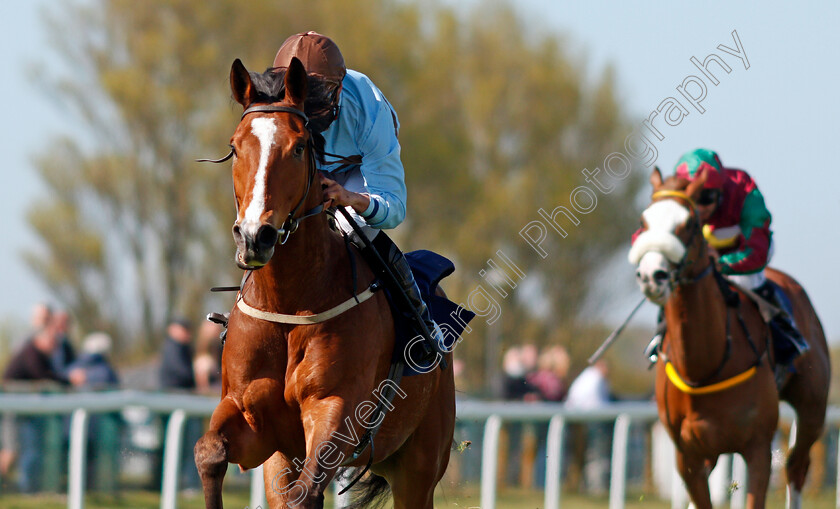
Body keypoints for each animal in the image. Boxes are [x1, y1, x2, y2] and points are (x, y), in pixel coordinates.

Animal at [194, 58, 456, 508]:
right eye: (235, 146)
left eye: (299, 147)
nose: (255, 236)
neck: (288, 301)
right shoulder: (252, 419)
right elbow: (209, 452)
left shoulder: (335, 409)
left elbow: (306, 491)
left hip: (419, 465)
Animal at [632, 169, 832, 506]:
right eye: (644, 221)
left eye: (689, 223)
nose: (651, 275)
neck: (704, 366)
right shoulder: (688, 456)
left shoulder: (758, 447)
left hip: (812, 408)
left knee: (797, 466)